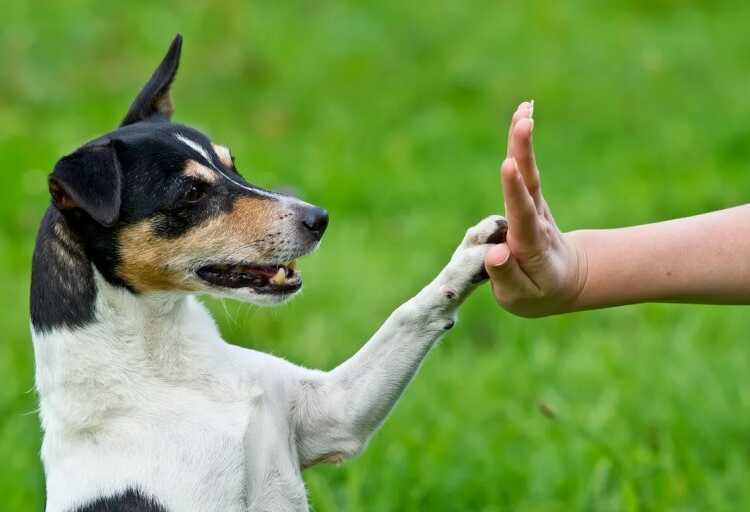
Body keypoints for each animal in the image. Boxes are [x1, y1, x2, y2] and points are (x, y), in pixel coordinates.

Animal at [30, 34, 512, 510]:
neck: (169, 367)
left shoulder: (333, 413)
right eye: (191, 192)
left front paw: (473, 254)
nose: (319, 218)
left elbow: (409, 314)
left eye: (232, 164)